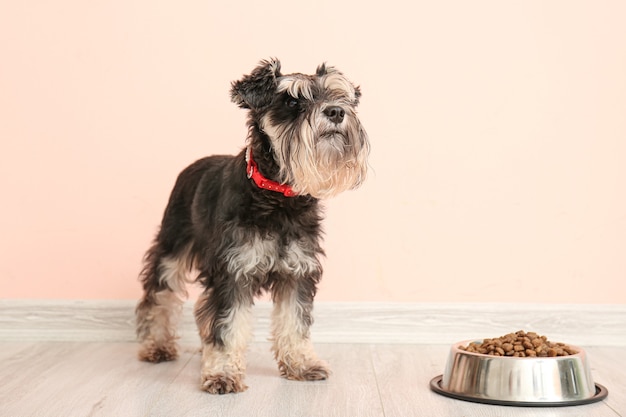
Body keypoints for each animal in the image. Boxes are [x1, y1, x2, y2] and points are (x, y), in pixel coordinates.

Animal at [134, 59, 368, 394]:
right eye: (292, 101)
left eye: (341, 96)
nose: (336, 112)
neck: (278, 196)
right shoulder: (232, 272)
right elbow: (227, 325)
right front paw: (222, 373)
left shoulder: (298, 273)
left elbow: (294, 322)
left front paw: (302, 364)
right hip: (170, 250)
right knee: (159, 297)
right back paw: (156, 346)